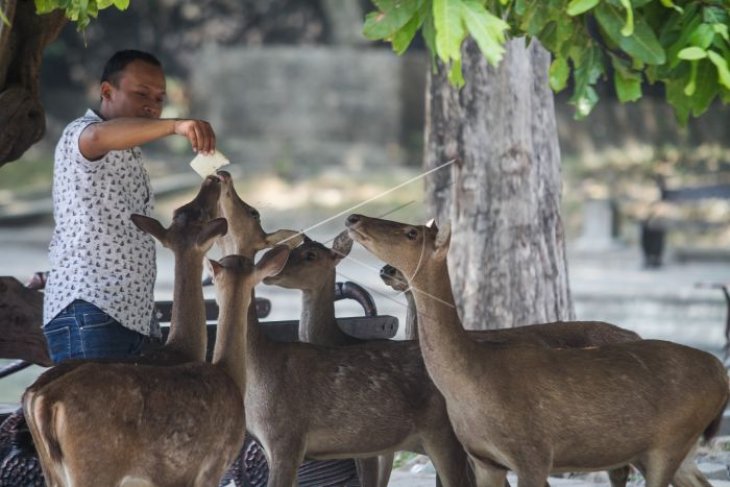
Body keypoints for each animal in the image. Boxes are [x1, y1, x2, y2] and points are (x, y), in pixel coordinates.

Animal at [346, 214, 728, 487]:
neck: (474, 378)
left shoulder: (532, 453)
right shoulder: (484, 459)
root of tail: (721, 374)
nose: (354, 218)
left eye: (412, 233)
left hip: (668, 441)